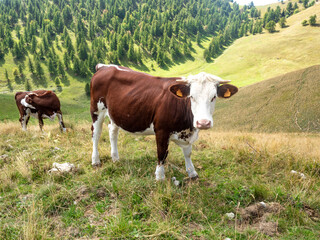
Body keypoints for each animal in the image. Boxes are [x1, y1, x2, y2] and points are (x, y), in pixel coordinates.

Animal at [90, 63, 238, 180]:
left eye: (214, 97)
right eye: (191, 97)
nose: (203, 123)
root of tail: (105, 67)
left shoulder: (187, 133)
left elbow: (188, 152)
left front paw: (192, 173)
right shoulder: (161, 130)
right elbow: (162, 153)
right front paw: (160, 177)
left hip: (115, 113)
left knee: (112, 131)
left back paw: (115, 158)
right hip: (96, 109)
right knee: (96, 134)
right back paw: (96, 160)